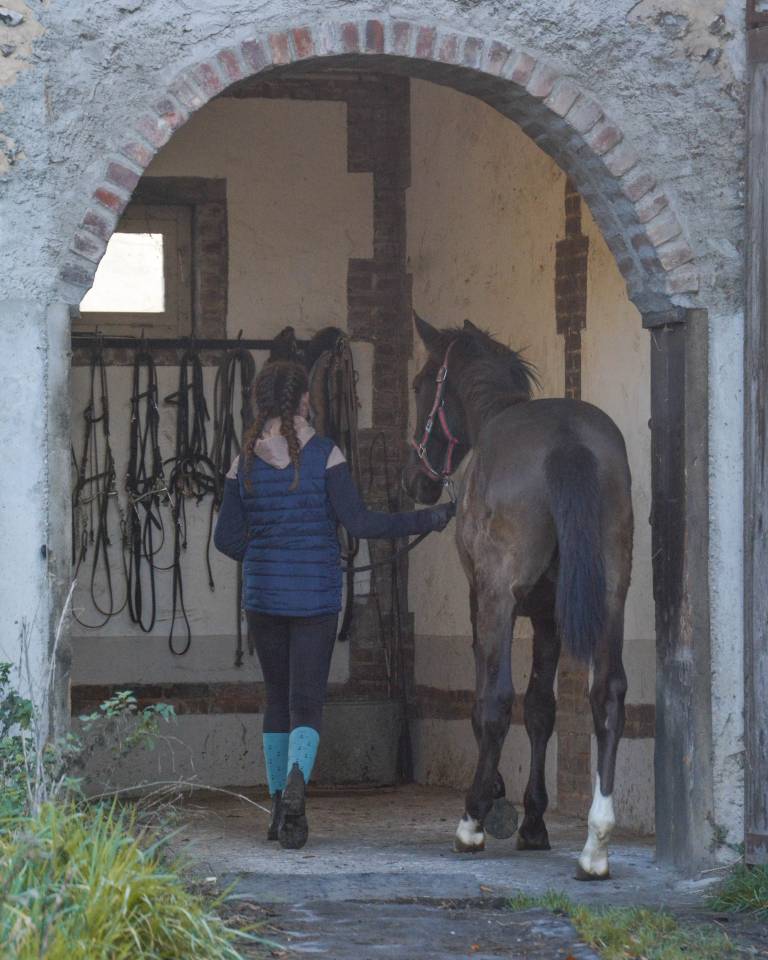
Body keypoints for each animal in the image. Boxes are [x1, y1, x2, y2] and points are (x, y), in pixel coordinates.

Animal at [402, 314, 633, 880]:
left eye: (420, 385)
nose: (417, 481)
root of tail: (569, 442)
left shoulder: (484, 601)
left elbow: (491, 701)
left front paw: (490, 806)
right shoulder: (550, 618)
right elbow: (542, 709)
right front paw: (533, 822)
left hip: (498, 599)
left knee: (497, 701)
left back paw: (470, 823)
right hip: (611, 596)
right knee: (608, 693)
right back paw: (596, 844)